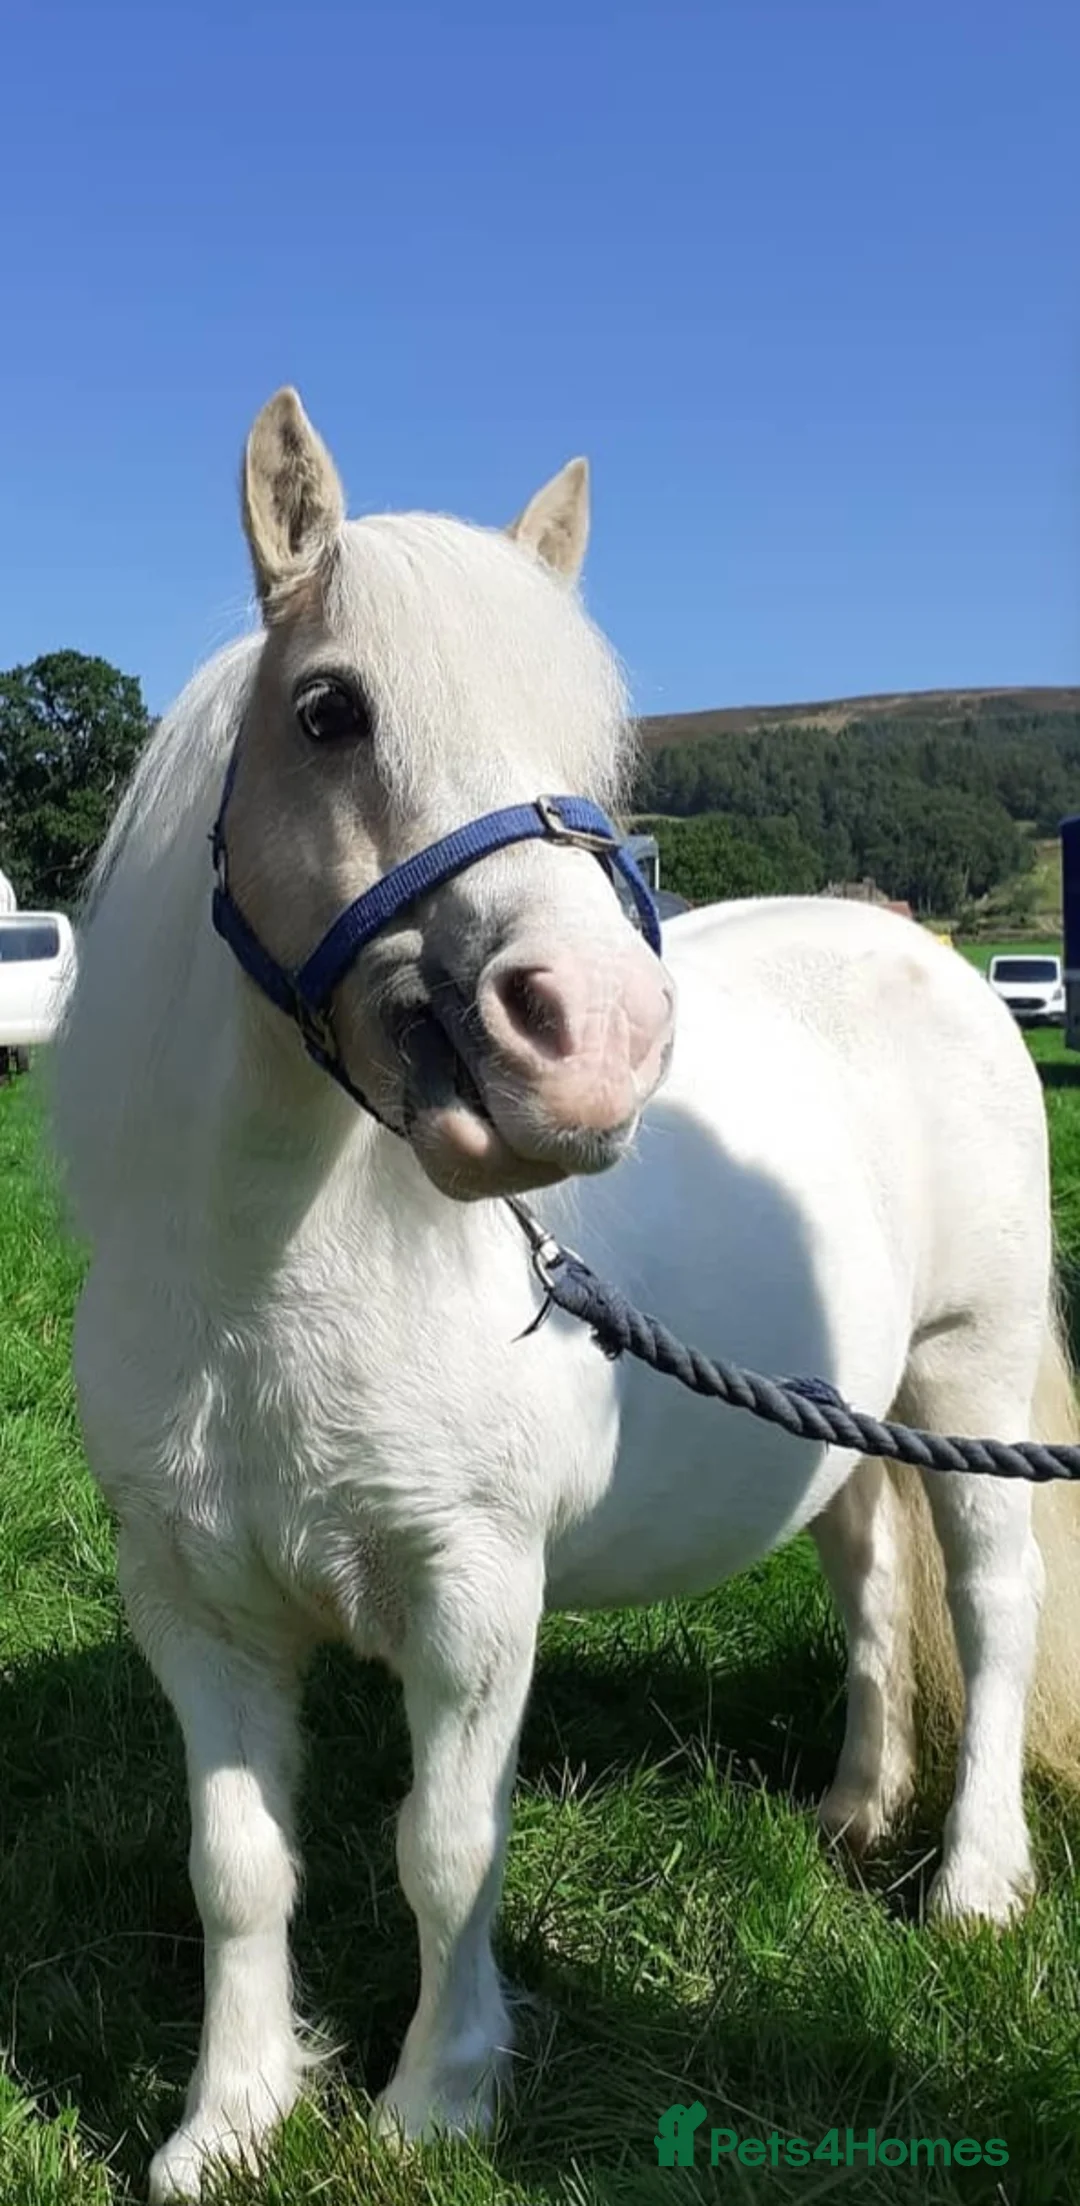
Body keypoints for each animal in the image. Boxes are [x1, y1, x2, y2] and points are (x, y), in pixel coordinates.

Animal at [52, 389, 1080, 2201]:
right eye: (330, 710)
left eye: (594, 764)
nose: (592, 1042)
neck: (268, 1287)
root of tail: (930, 958)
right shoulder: (194, 1603)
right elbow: (237, 1864)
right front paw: (225, 2123)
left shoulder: (474, 1593)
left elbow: (445, 1844)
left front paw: (435, 2101)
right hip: (851, 1416)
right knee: (872, 1583)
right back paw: (851, 1808)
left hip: (968, 1378)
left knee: (992, 1603)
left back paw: (969, 1883)